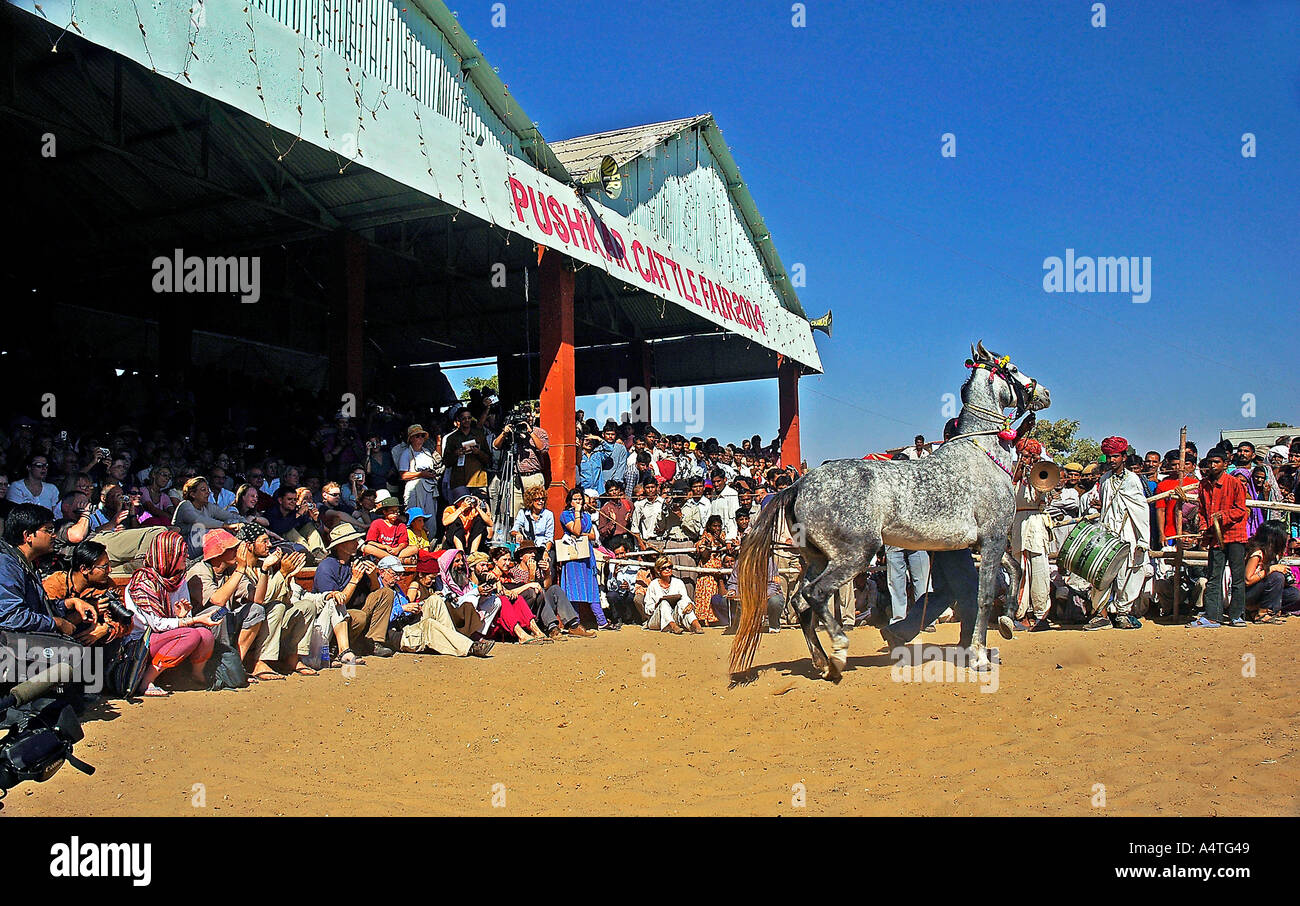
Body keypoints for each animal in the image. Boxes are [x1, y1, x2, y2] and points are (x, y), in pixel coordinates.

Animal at [738, 343, 1050, 681]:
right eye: (1014, 369)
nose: (1044, 393)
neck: (981, 455)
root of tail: (799, 485)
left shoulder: (983, 542)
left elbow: (1015, 570)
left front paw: (1006, 622)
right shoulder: (992, 538)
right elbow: (984, 597)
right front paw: (980, 656)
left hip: (817, 558)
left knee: (800, 601)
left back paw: (822, 663)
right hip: (856, 554)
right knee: (815, 595)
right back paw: (838, 652)